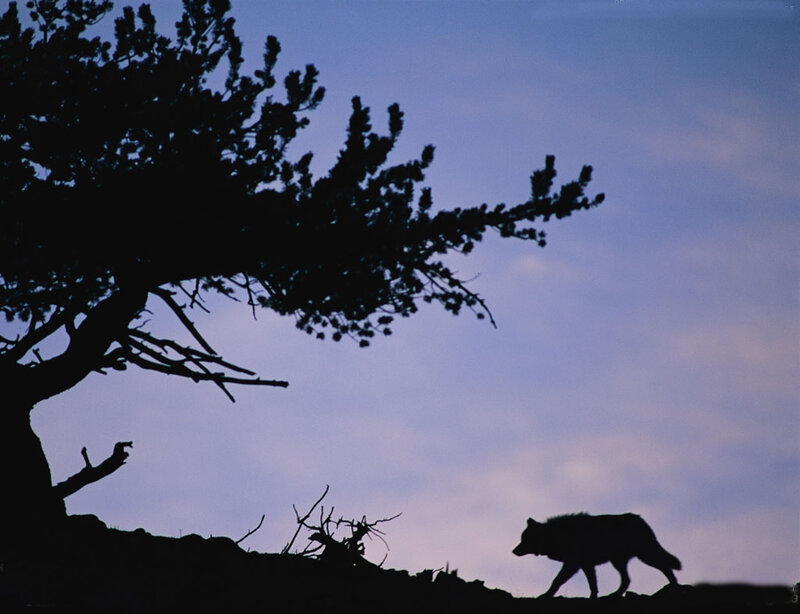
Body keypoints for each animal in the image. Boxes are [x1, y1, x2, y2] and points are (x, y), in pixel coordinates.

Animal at [512, 513, 681, 598]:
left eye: (524, 539)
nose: (513, 551)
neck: (558, 535)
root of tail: (641, 519)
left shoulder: (573, 564)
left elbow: (556, 581)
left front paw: (546, 595)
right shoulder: (586, 565)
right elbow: (593, 585)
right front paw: (593, 598)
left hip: (645, 556)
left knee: (666, 568)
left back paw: (674, 587)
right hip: (618, 561)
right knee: (627, 580)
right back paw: (614, 595)